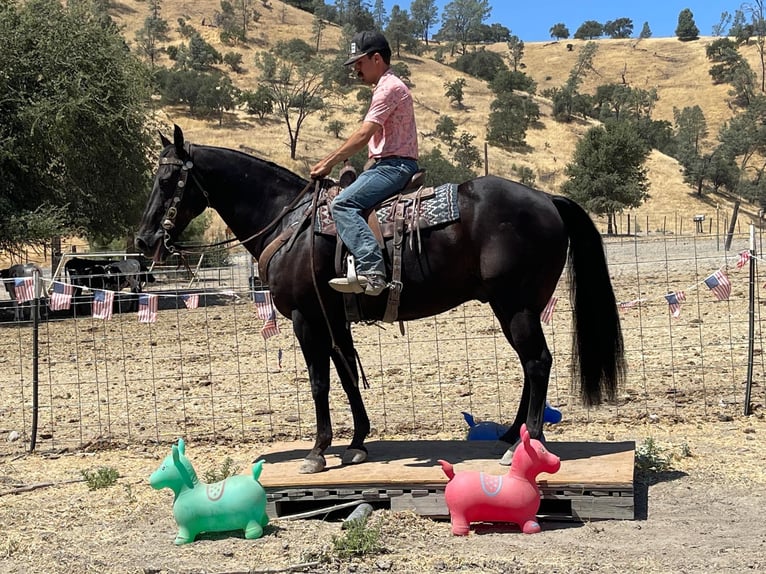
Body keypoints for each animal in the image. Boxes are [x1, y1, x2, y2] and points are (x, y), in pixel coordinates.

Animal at [135, 125, 625, 474]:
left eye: (167, 178)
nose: (143, 239)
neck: (288, 221)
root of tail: (547, 199)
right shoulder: (333, 318)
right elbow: (348, 375)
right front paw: (357, 443)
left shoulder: (306, 318)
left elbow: (320, 382)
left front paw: (317, 451)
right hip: (513, 309)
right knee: (530, 365)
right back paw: (510, 435)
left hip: (516, 307)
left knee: (537, 362)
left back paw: (530, 443)